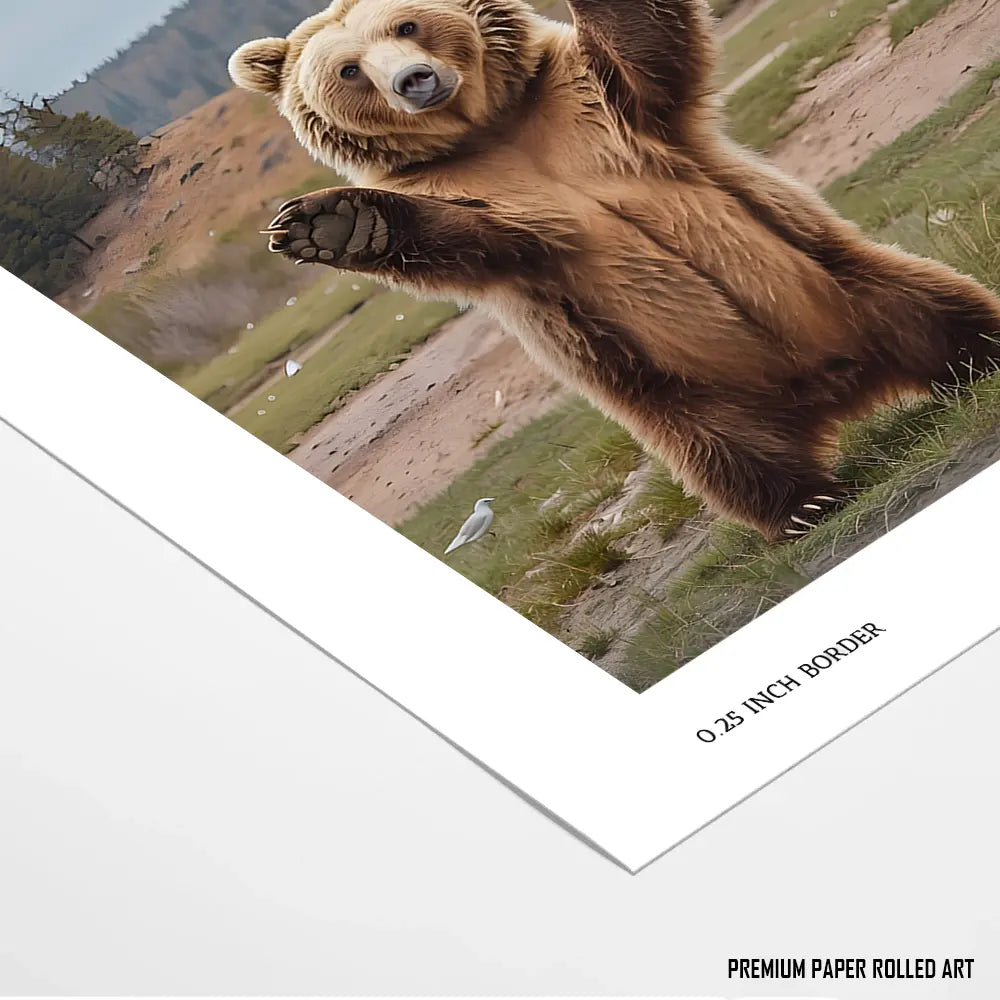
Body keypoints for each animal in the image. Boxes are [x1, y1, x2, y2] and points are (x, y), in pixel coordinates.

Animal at [228, 0, 1000, 541]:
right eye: (348, 69)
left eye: (407, 23)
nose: (414, 80)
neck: (493, 132)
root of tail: (842, 387)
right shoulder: (491, 207)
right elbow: (478, 240)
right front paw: (334, 222)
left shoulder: (585, 102)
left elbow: (643, 48)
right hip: (678, 397)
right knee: (732, 459)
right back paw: (807, 503)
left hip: (848, 280)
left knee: (939, 310)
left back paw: (977, 361)